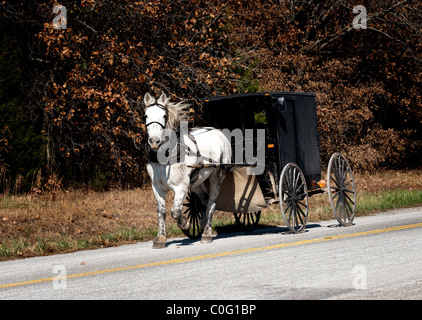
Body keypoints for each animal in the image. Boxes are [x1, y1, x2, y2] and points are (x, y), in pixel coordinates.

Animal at [144, 92, 231, 248]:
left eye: (164, 116)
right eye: (146, 115)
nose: (154, 141)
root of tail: (218, 132)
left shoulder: (182, 187)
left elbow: (175, 212)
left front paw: (185, 224)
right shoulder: (157, 187)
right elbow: (161, 212)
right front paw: (160, 238)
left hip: (218, 174)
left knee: (211, 203)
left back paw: (207, 233)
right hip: (197, 180)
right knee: (204, 200)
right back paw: (202, 223)